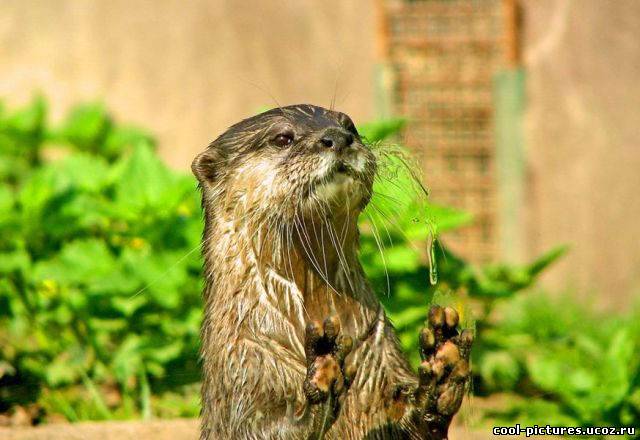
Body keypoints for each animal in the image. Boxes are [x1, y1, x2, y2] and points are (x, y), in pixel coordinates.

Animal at [190, 105, 470, 438]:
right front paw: (322, 382)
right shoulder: (244, 366)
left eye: (349, 125)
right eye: (282, 138)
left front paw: (442, 370)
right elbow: (263, 428)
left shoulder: (377, 351)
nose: (337, 137)